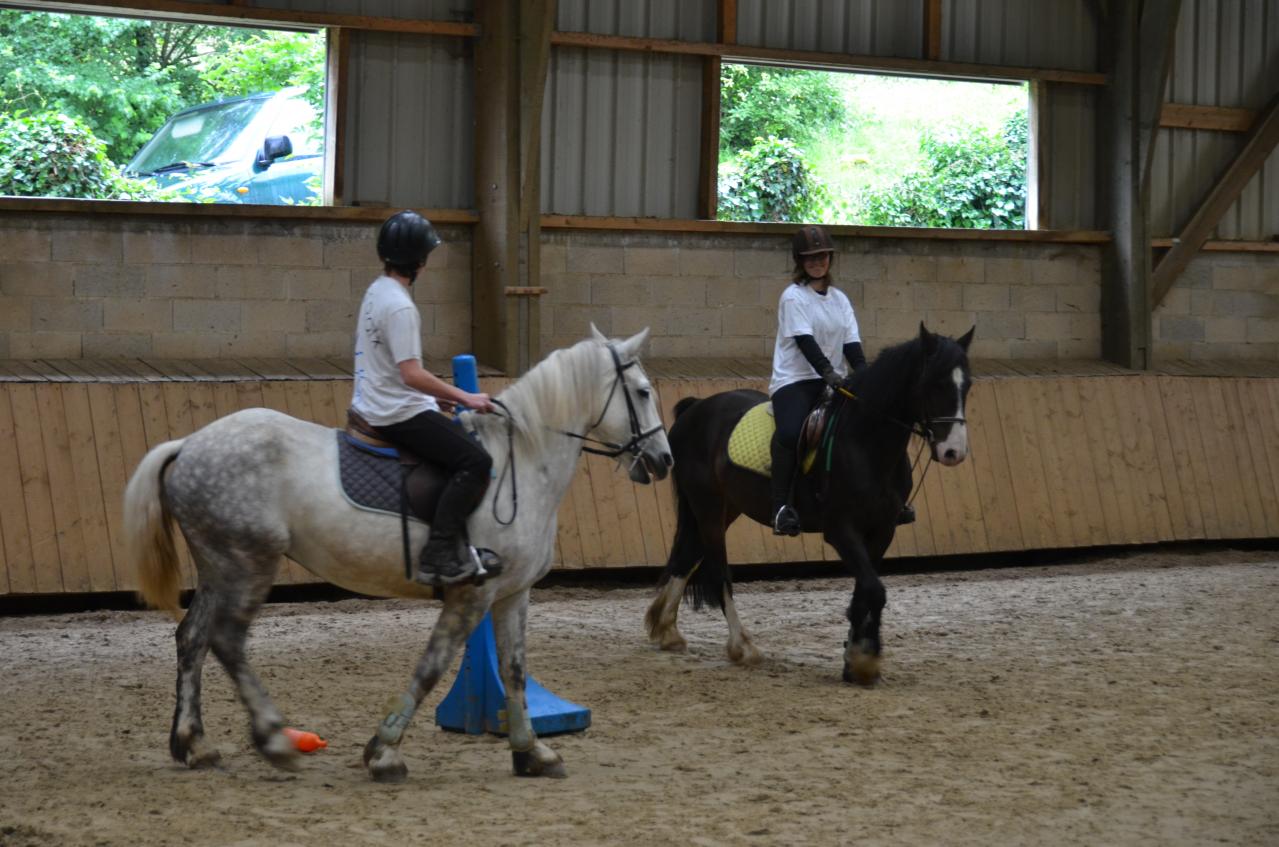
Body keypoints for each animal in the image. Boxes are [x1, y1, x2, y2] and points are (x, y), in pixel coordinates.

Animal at [124, 327, 675, 788]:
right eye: (643, 392)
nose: (664, 459)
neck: (522, 461)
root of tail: (188, 444)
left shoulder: (512, 594)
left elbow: (515, 670)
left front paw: (531, 753)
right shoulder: (471, 595)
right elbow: (431, 667)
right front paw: (383, 753)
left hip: (218, 565)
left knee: (193, 638)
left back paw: (194, 745)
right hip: (249, 564)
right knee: (227, 641)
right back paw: (275, 741)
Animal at [644, 322, 972, 685]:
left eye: (967, 385)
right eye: (935, 383)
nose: (953, 452)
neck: (866, 441)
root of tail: (696, 407)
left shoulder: (882, 529)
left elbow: (866, 588)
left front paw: (853, 657)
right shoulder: (841, 529)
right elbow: (874, 589)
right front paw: (864, 659)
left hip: (724, 508)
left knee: (687, 556)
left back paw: (667, 631)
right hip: (709, 508)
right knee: (718, 572)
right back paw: (741, 646)